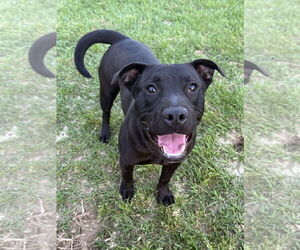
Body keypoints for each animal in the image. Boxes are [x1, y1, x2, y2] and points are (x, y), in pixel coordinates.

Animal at [74, 29, 225, 205]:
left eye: (192, 87)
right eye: (151, 89)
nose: (175, 115)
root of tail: (123, 40)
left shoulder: (174, 162)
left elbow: (165, 178)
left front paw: (163, 194)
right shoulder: (126, 160)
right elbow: (127, 177)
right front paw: (127, 191)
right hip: (106, 91)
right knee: (106, 112)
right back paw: (105, 133)